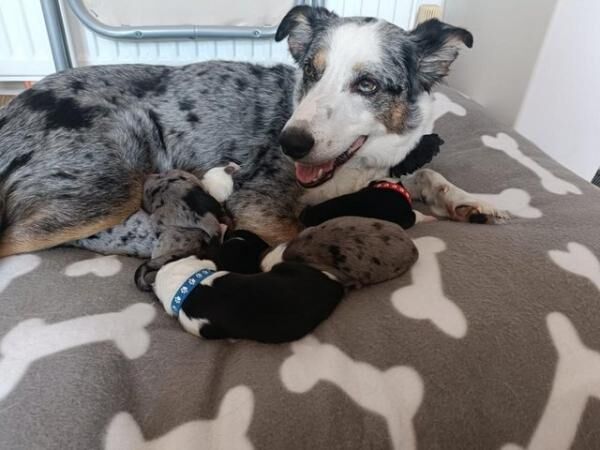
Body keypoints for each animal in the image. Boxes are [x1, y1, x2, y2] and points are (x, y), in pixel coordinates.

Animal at [0, 5, 502, 256]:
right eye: (311, 71)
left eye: (368, 84)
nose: (289, 143)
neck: (360, 167)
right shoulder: (258, 205)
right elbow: (297, 230)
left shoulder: (396, 164)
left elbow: (429, 173)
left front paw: (469, 202)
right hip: (110, 181)